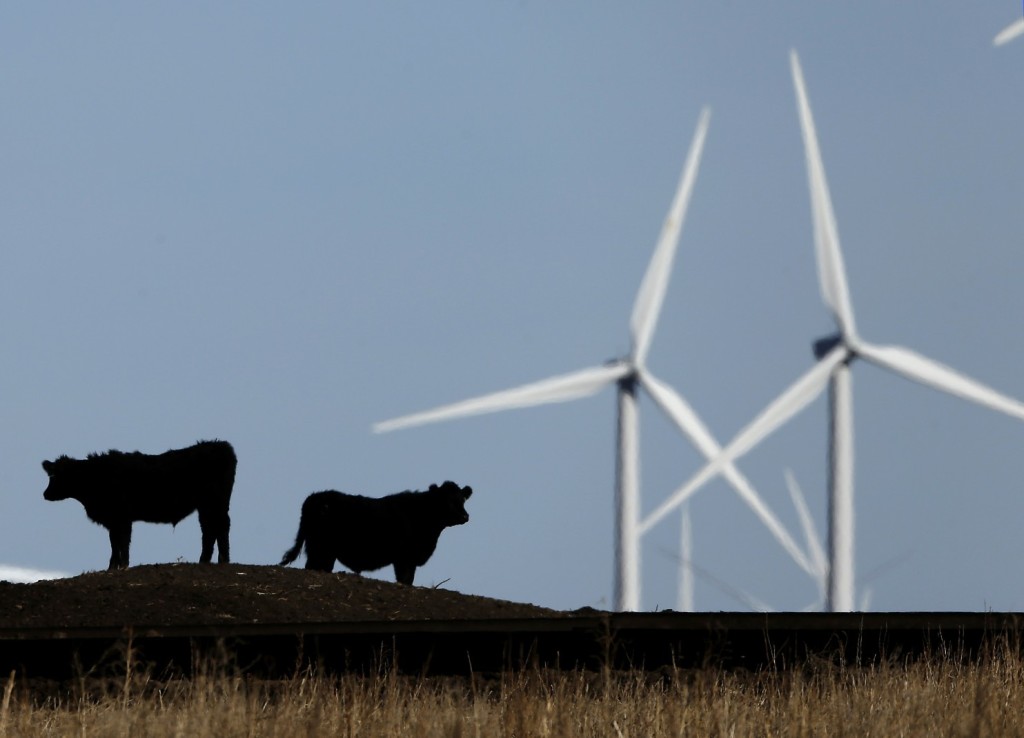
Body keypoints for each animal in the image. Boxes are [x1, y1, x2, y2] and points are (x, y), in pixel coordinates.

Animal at [41, 438, 235, 569]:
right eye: (51, 475)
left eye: (57, 476)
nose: (45, 494)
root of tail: (220, 445)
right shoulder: (114, 520)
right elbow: (114, 542)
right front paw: (113, 567)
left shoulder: (122, 517)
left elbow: (122, 542)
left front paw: (122, 565)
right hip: (207, 506)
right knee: (210, 529)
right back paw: (208, 561)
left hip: (214, 502)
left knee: (220, 526)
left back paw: (222, 560)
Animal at [280, 476, 471, 585]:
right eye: (447, 501)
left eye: (462, 500)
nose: (465, 516)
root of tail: (316, 496)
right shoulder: (404, 558)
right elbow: (405, 580)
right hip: (321, 548)